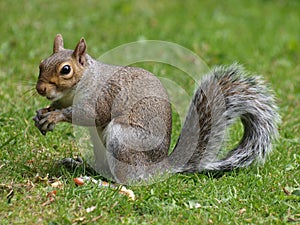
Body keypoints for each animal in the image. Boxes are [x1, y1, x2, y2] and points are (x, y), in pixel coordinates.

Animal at [34, 34, 280, 184]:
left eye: (66, 70)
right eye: (41, 63)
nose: (40, 89)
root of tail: (159, 168)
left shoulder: (102, 96)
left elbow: (89, 115)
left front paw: (55, 116)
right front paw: (42, 113)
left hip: (123, 139)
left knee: (127, 180)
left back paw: (97, 181)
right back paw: (80, 166)